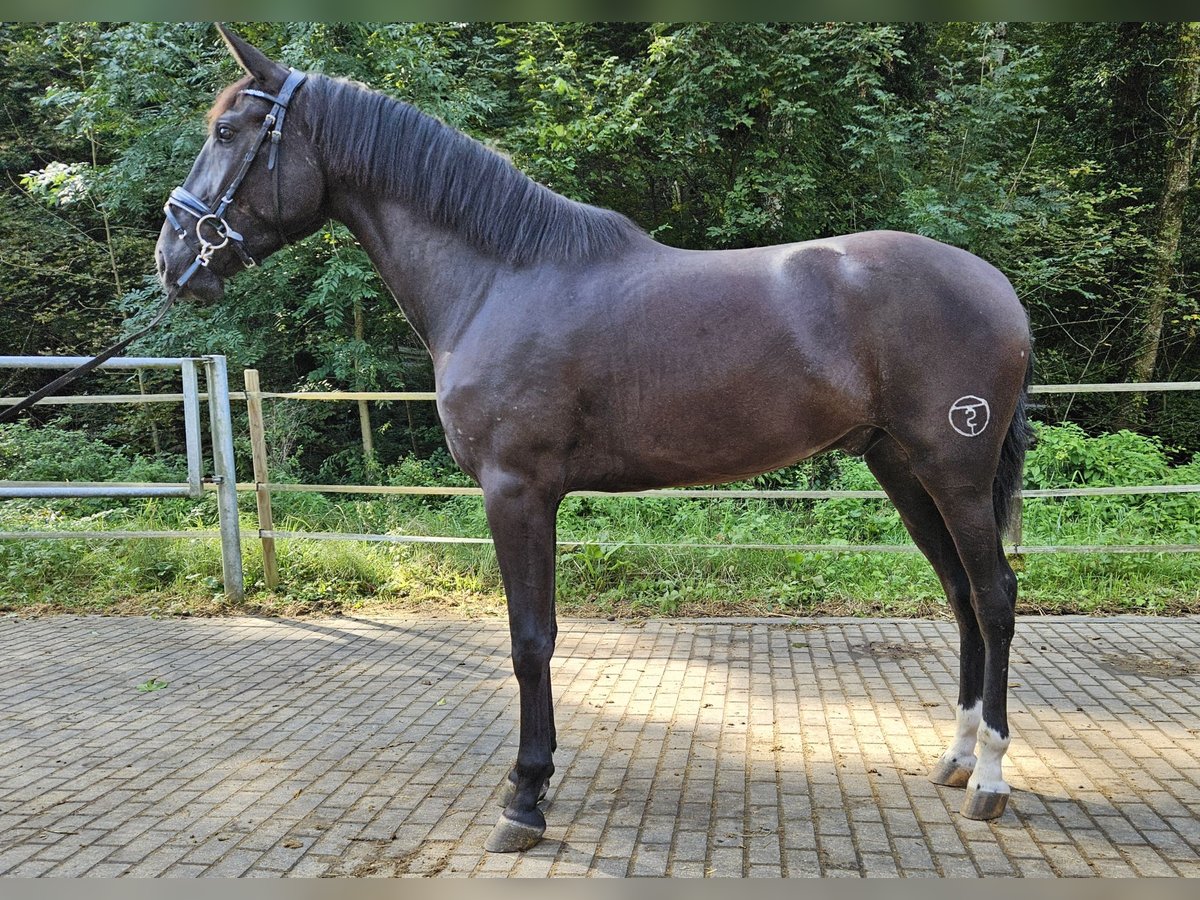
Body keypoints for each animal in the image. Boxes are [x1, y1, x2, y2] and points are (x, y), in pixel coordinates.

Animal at [154, 26, 1036, 854]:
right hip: (902, 469)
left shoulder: (516, 490)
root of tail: (997, 288)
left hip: (954, 472)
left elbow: (529, 640)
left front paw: (525, 798)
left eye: (229, 130)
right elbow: (536, 636)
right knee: (960, 596)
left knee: (994, 596)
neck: (499, 278)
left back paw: (990, 777)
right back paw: (957, 757)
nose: (171, 256)